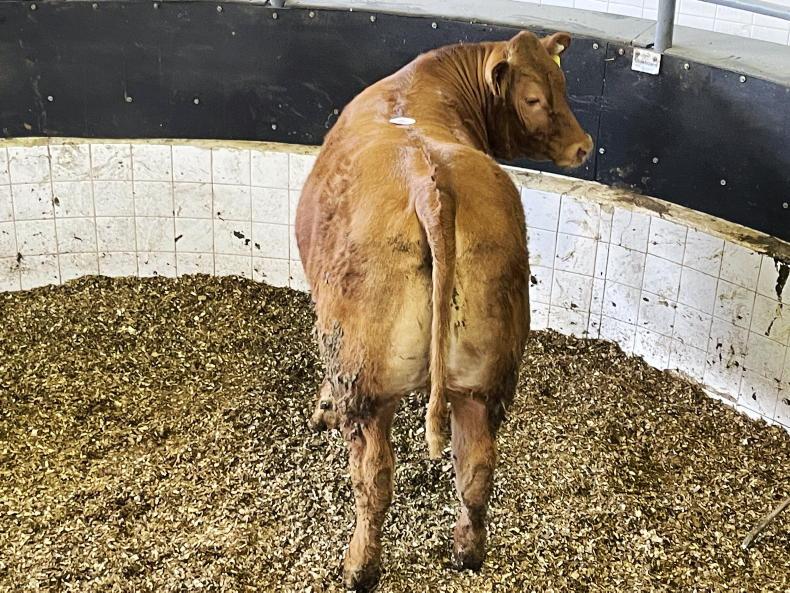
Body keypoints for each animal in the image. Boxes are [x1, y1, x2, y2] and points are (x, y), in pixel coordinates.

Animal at [296, 30, 593, 591]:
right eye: (535, 97)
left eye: (563, 84)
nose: (583, 146)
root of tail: (428, 182)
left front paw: (321, 407)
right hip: (486, 377)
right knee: (475, 468)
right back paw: (466, 552)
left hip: (364, 383)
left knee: (373, 477)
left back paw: (358, 566)